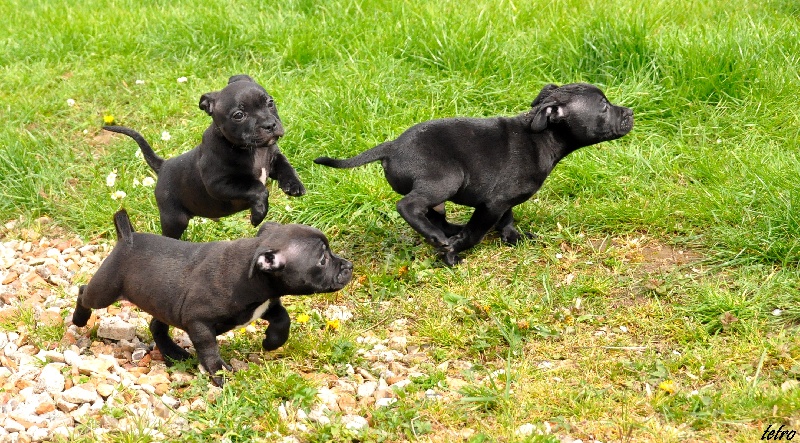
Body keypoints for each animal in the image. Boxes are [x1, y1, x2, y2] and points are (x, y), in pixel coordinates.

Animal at [72, 210, 354, 386]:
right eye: (322, 259)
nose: (349, 266)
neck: (251, 270)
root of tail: (126, 237)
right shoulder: (199, 322)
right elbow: (209, 349)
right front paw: (219, 373)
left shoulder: (266, 305)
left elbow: (283, 319)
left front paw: (272, 342)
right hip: (105, 290)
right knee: (85, 292)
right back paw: (79, 319)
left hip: (163, 304)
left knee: (156, 326)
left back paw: (173, 352)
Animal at [104, 74, 304, 239]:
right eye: (239, 115)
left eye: (270, 102)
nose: (270, 124)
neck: (253, 150)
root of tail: (164, 165)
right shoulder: (219, 184)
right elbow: (257, 188)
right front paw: (258, 214)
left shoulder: (273, 158)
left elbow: (286, 166)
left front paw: (293, 185)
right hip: (174, 219)